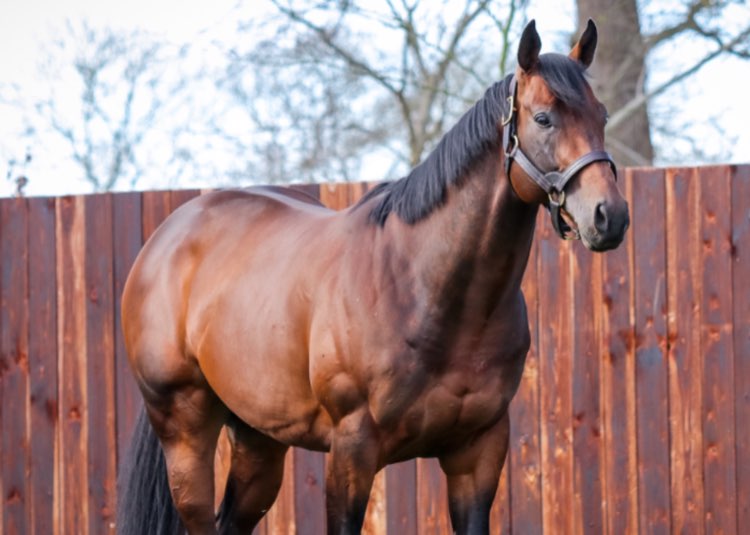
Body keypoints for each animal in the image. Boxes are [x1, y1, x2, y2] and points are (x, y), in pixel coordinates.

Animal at [117, 19, 629, 535]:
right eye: (543, 118)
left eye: (602, 115)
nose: (610, 216)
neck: (423, 289)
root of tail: (168, 236)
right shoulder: (352, 452)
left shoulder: (478, 453)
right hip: (185, 432)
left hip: (259, 440)